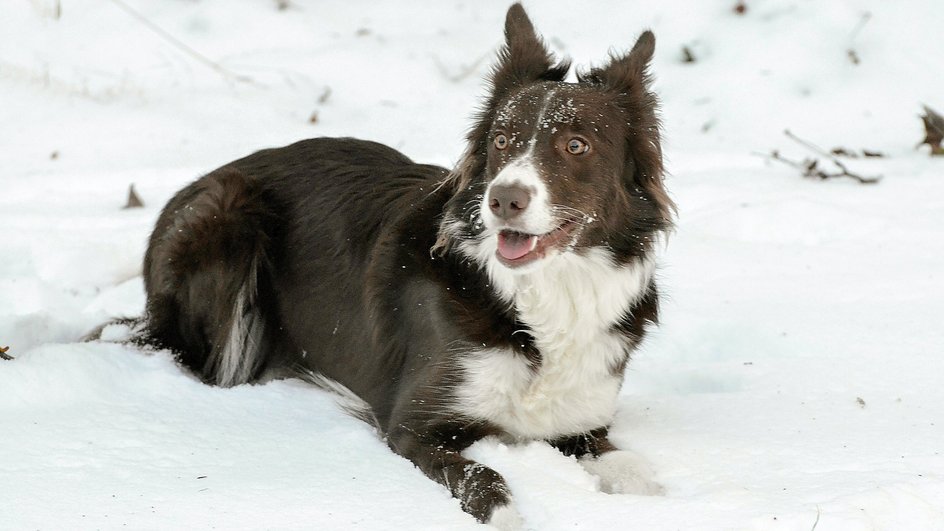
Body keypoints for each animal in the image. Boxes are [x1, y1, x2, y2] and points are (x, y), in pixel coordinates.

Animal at [136, 4, 676, 528]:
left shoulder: (583, 424)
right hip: (228, 218)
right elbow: (485, 479)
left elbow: (637, 472)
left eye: (576, 145)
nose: (503, 200)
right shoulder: (415, 427)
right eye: (501, 141)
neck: (540, 294)